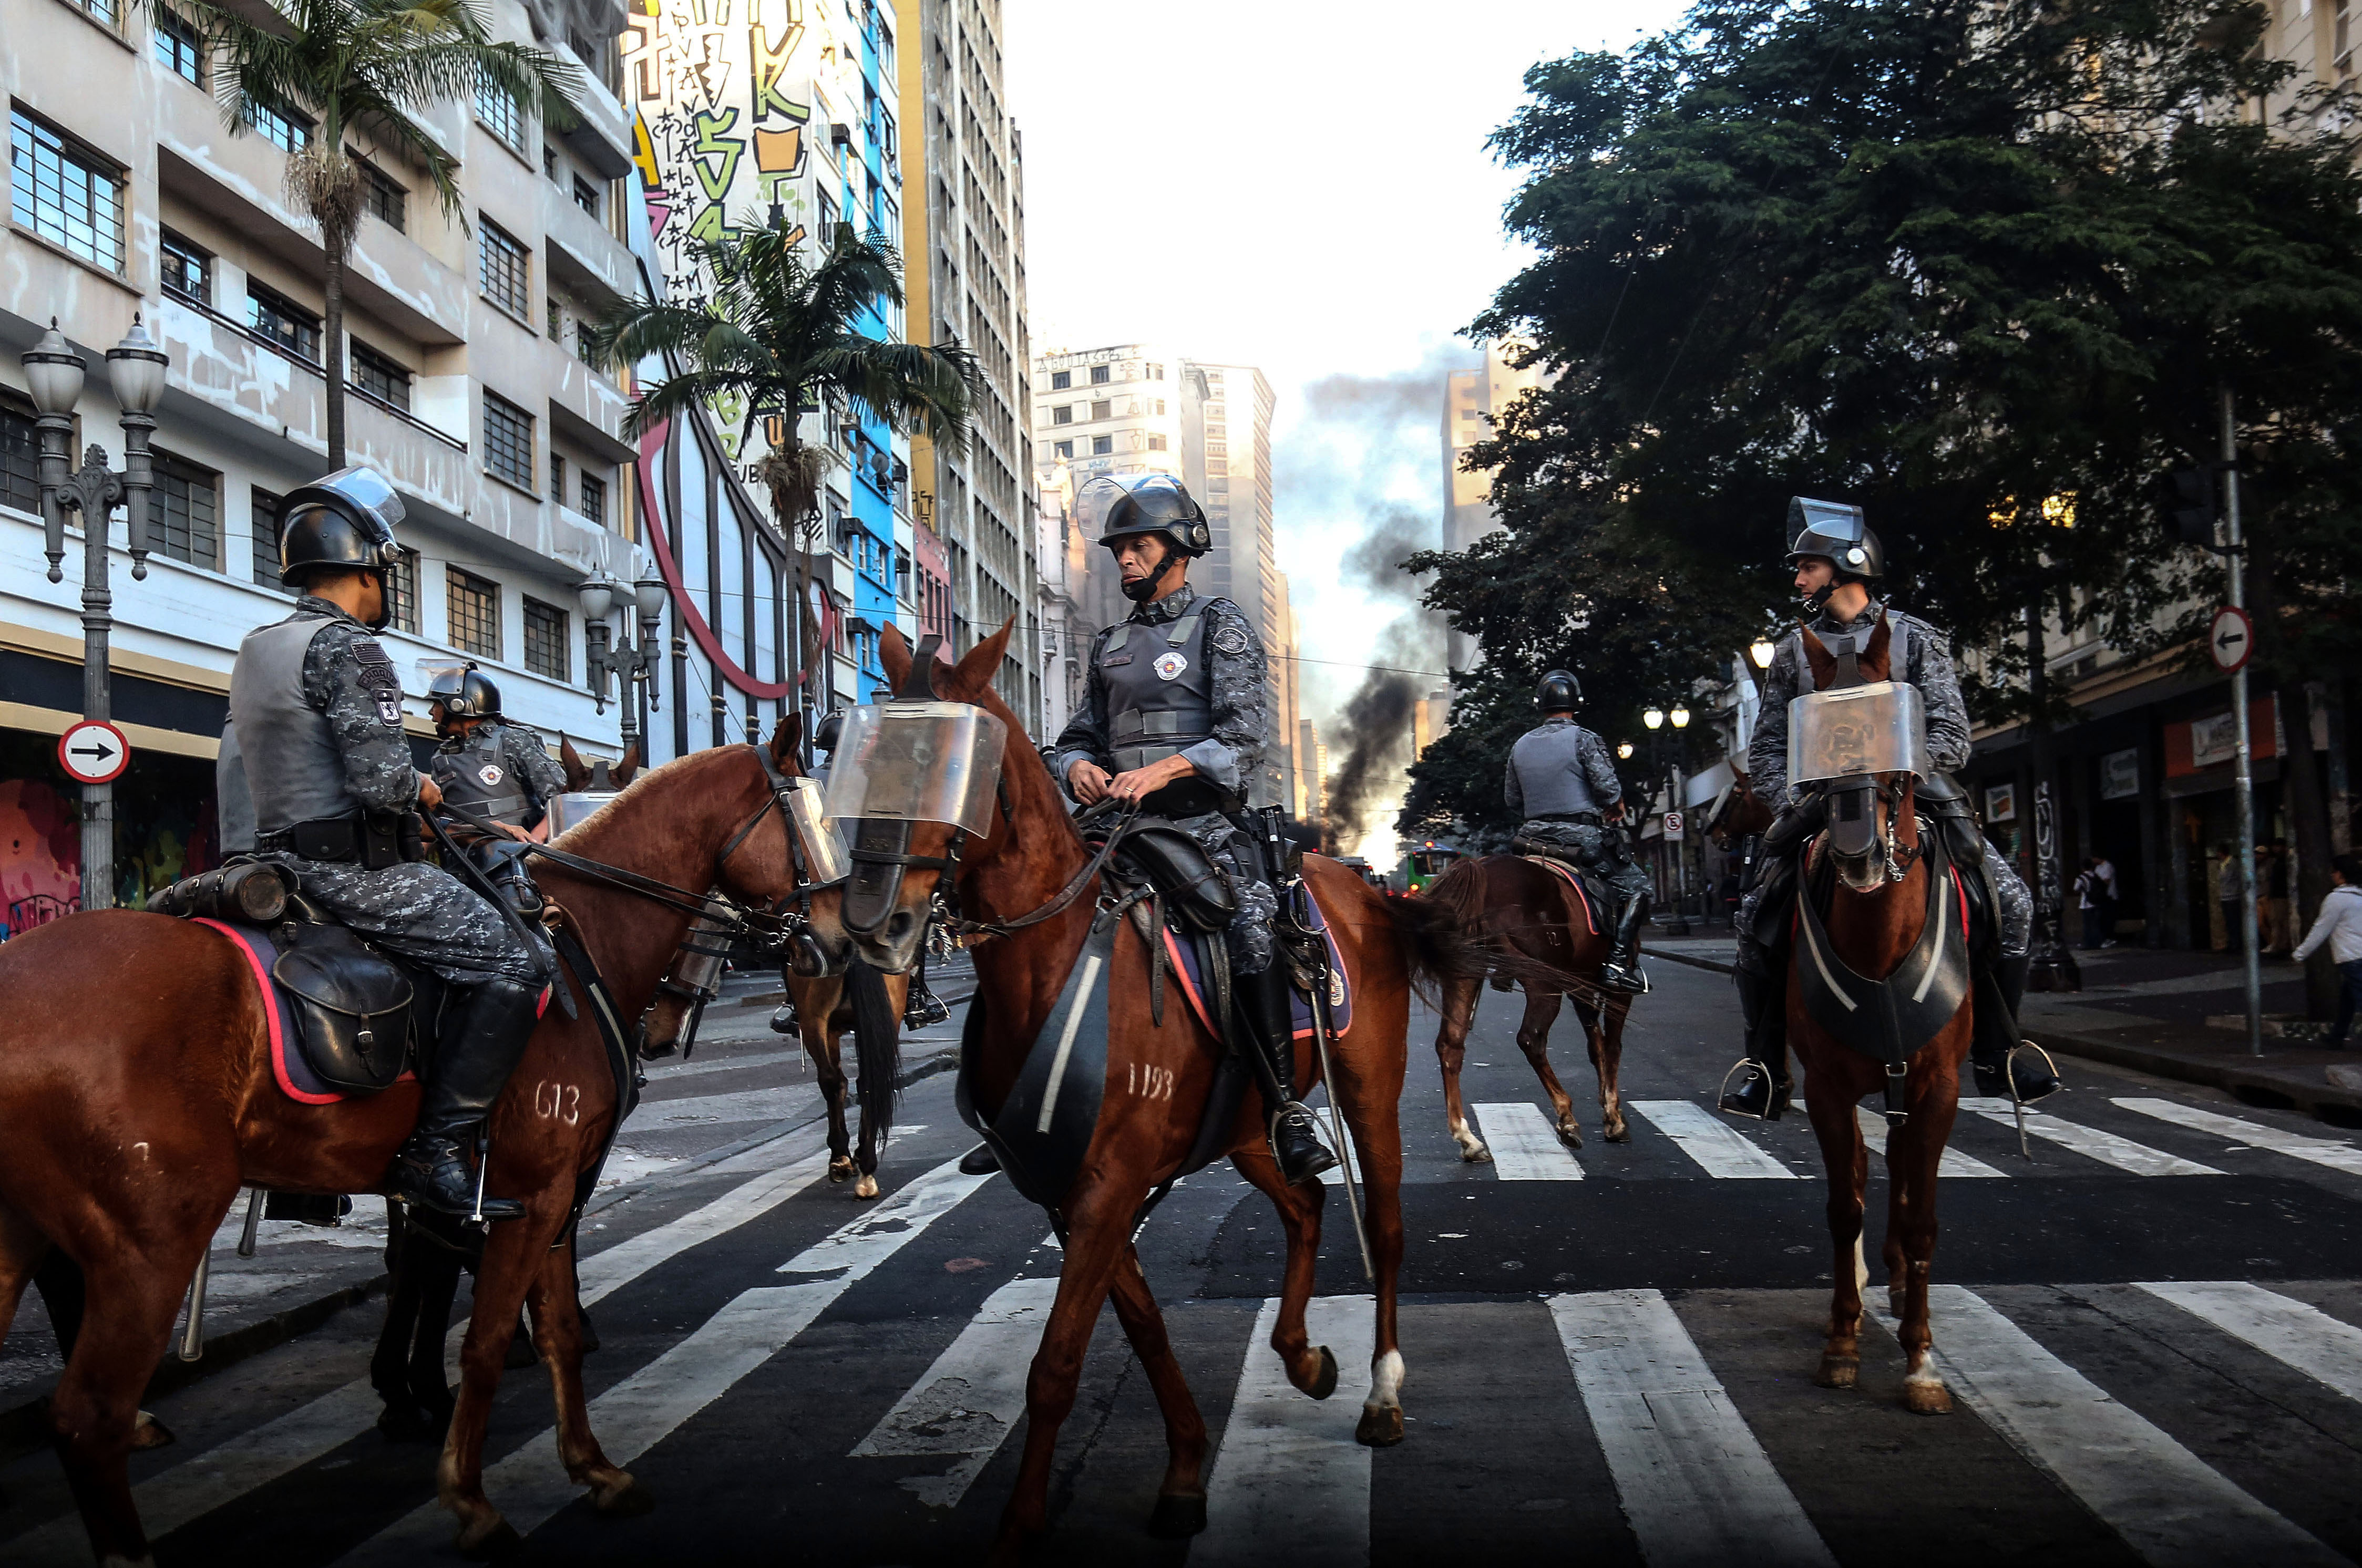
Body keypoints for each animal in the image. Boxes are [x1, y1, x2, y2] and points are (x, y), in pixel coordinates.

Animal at [0, 727, 831, 1559]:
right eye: (804, 820)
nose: (830, 940)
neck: (575, 935)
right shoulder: (531, 1190)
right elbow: (482, 1335)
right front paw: (467, 1492)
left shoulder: (548, 1190)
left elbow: (553, 1328)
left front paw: (592, 1468)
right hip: (153, 1241)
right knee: (88, 1416)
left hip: (31, 1234)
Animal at [850, 623, 1474, 1559]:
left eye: (955, 765)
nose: (870, 922)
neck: (1050, 964)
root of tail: (1364, 887)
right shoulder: (1068, 1192)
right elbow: (1142, 1330)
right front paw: (1184, 1471)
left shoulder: (1109, 1186)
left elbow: (1056, 1363)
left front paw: (1021, 1525)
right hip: (1248, 1126)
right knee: (1306, 1204)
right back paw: (1300, 1356)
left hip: (1368, 1093)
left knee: (1387, 1230)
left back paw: (1382, 1392)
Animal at [1417, 859, 1625, 1152]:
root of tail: (1479, 869)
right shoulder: (1618, 985)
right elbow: (1612, 1046)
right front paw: (1614, 1118)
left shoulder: (1582, 984)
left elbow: (1596, 1044)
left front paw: (1609, 1110)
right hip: (1543, 980)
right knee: (1531, 1039)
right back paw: (1567, 1118)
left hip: (1464, 975)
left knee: (1450, 1044)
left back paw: (1467, 1137)